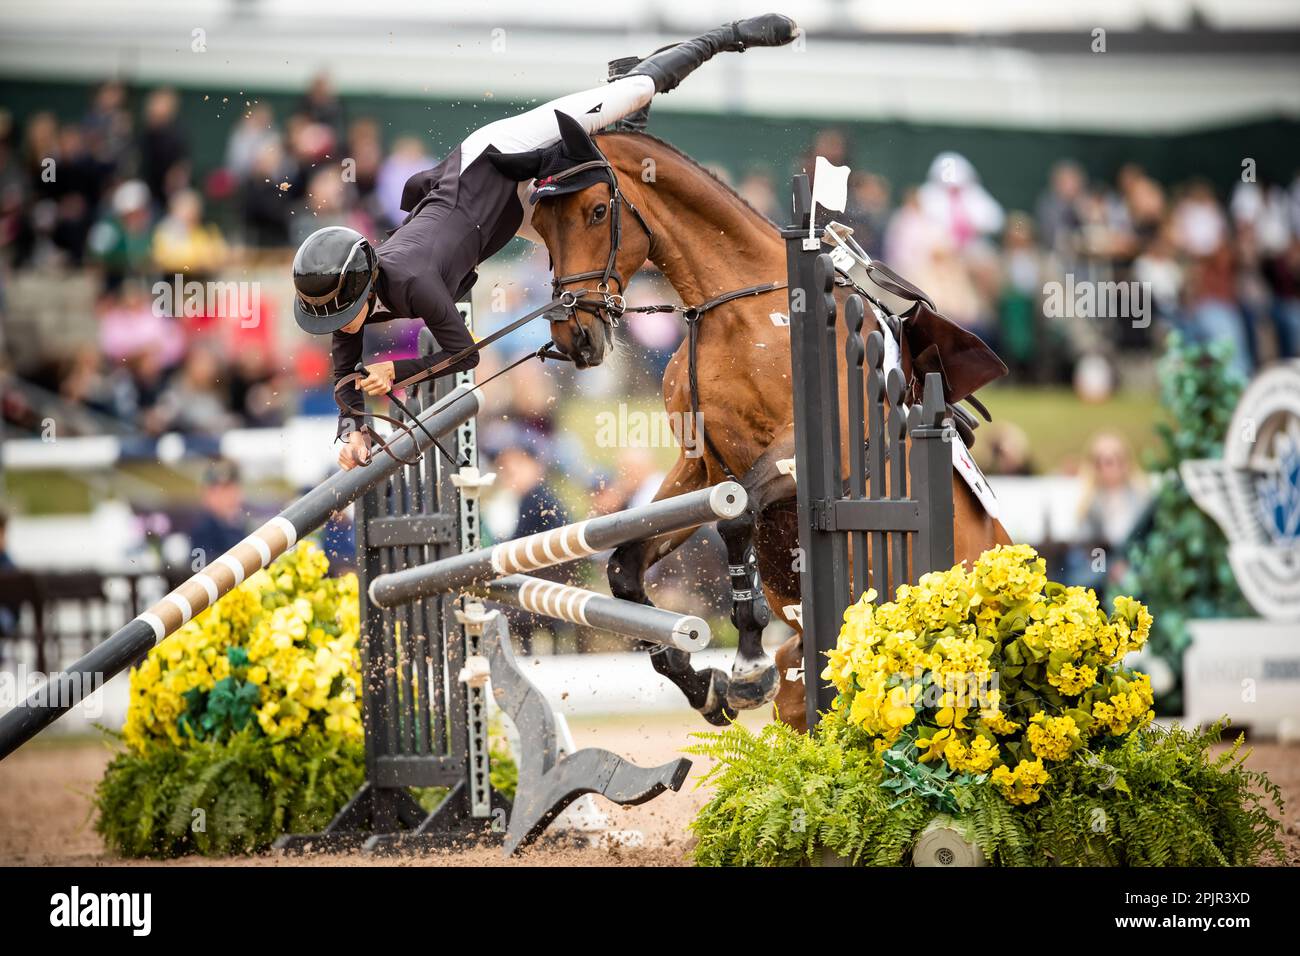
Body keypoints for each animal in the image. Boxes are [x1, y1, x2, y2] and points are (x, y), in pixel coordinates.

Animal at [491, 119, 1008, 733]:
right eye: (542, 225)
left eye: (596, 211)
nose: (575, 337)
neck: (735, 309)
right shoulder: (701, 468)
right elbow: (624, 567)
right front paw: (700, 683)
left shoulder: (810, 453)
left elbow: (736, 521)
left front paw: (746, 664)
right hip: (804, 688)